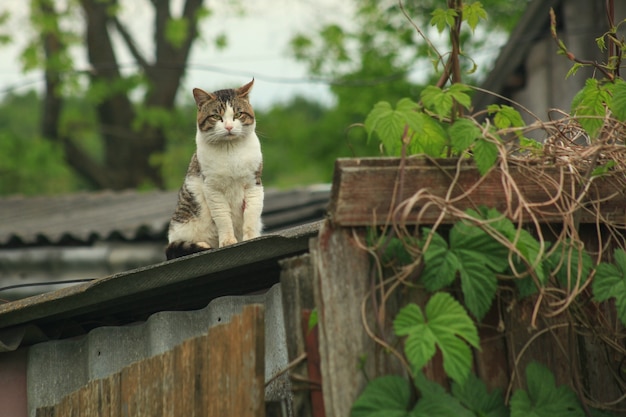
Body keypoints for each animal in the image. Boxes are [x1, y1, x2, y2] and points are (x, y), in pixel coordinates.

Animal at [165, 79, 262, 260]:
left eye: (238, 114)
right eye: (216, 116)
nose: (229, 127)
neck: (230, 150)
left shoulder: (254, 184)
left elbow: (251, 214)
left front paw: (252, 238)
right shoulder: (213, 189)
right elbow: (223, 218)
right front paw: (228, 241)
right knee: (177, 247)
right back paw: (201, 245)